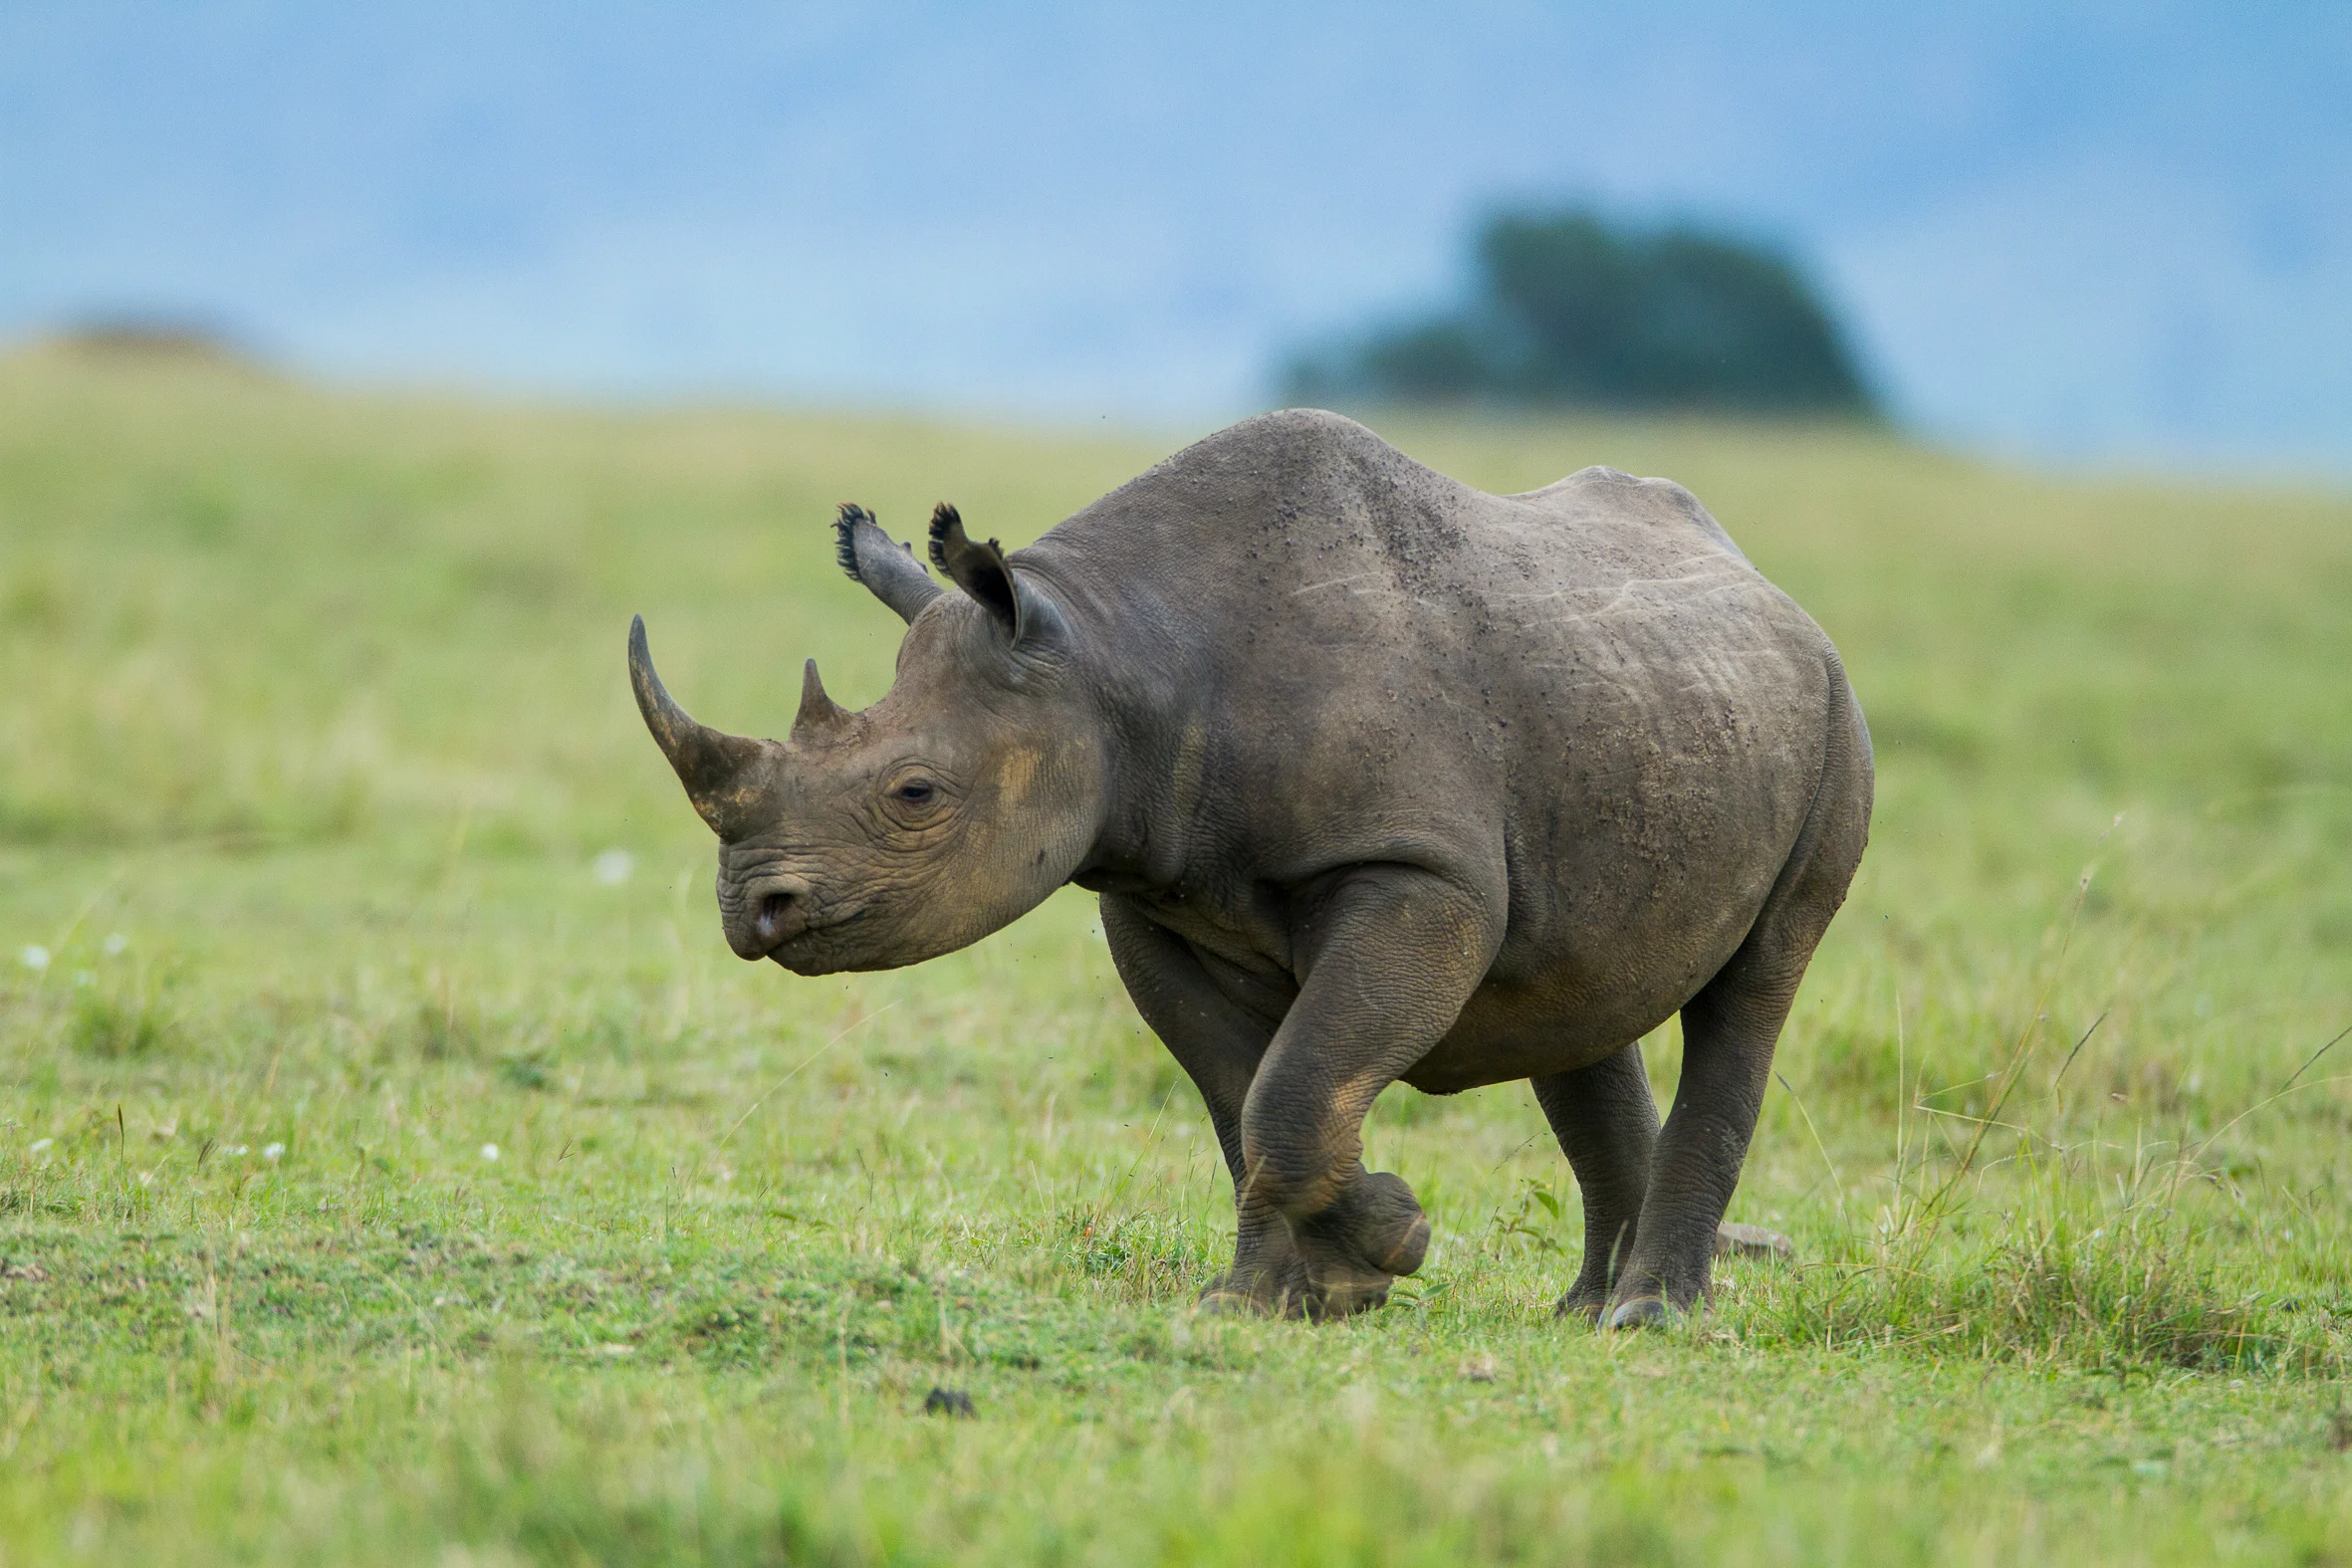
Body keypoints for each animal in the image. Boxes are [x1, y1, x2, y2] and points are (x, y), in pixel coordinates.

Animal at [628, 410, 1871, 1325]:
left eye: (915, 795)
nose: (751, 910)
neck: (1113, 653)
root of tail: (1764, 580)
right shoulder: (1149, 892)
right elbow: (1245, 1096)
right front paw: (1290, 1295)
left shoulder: (1417, 875)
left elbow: (1292, 1085)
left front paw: (1389, 1237)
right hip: (1657, 704)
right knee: (1578, 997)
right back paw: (1579, 1311)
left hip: (1834, 720)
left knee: (1756, 985)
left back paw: (1650, 1317)